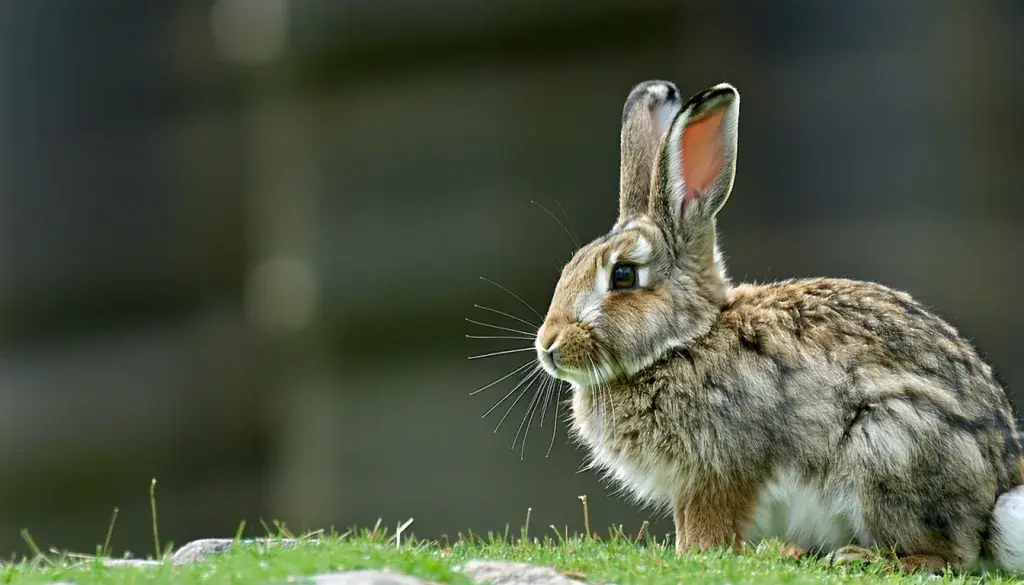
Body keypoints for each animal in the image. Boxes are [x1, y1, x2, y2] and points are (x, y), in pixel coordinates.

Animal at [533, 79, 1024, 575]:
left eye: (623, 276)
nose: (548, 347)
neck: (685, 341)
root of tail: (993, 503)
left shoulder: (719, 470)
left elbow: (708, 523)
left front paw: (693, 554)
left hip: (888, 444)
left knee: (949, 554)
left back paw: (865, 558)